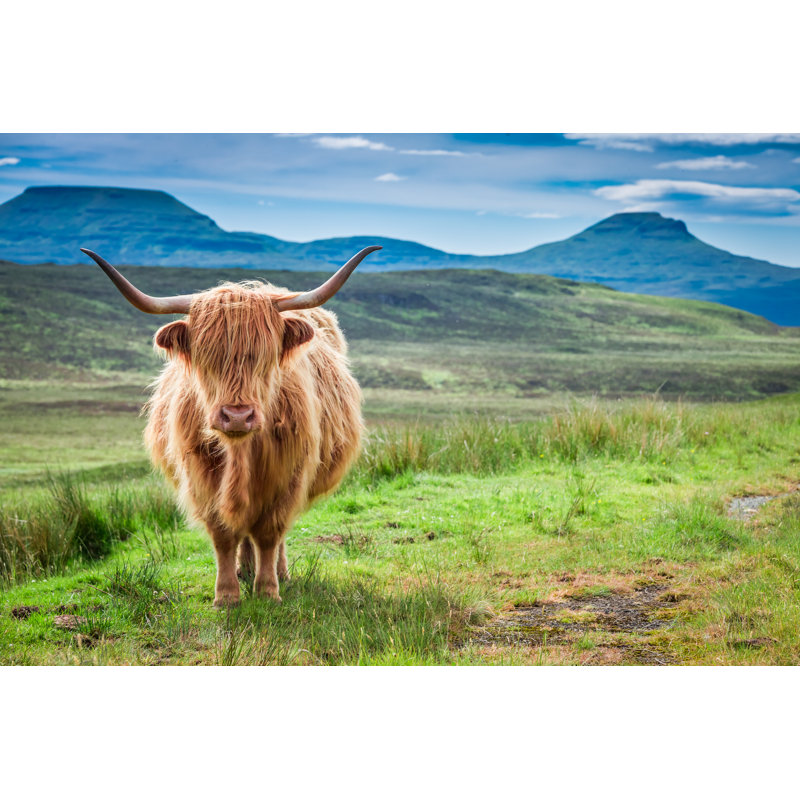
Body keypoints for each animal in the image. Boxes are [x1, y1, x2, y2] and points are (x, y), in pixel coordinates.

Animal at [81, 246, 380, 607]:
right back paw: (244, 569)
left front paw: (267, 591)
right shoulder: (201, 476)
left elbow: (269, 533)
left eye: (265, 356)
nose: (237, 416)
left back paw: (277, 572)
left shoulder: (287, 476)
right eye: (206, 357)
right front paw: (226, 595)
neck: (241, 452)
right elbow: (223, 534)